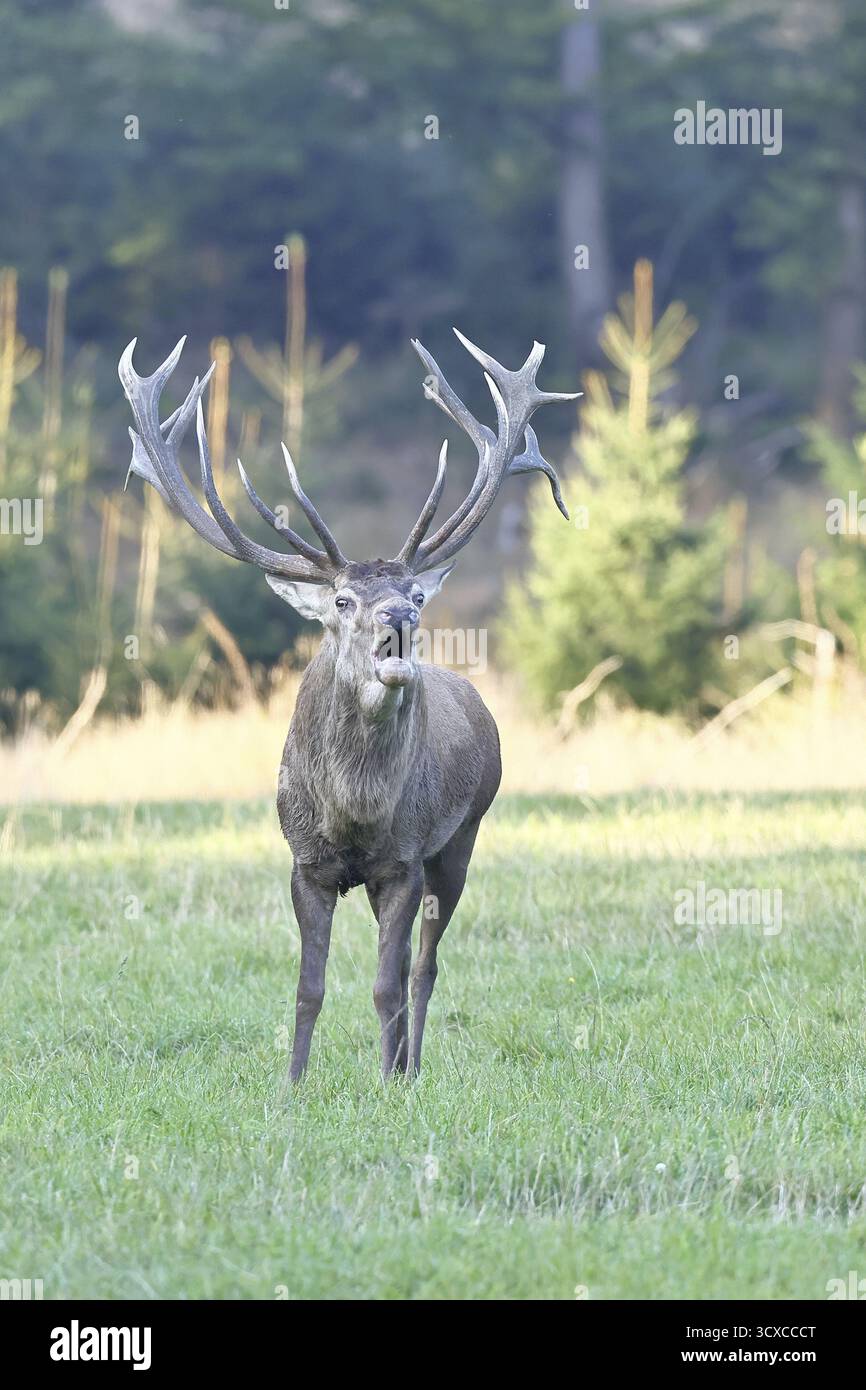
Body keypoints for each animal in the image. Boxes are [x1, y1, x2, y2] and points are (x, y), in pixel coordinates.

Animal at [119, 329, 576, 1079]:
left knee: (424, 966)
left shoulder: (405, 860)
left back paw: (412, 1067)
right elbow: (309, 986)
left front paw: (387, 1080)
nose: (398, 619)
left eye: (414, 595)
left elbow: (386, 983)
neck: (354, 810)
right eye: (341, 600)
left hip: (464, 837)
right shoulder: (306, 863)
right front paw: (292, 1084)